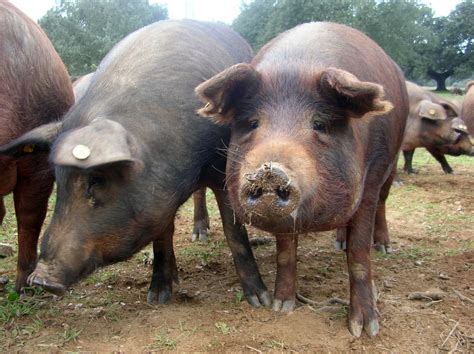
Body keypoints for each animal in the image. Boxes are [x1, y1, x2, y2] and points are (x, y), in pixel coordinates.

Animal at [194, 22, 410, 338]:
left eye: (319, 123)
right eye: (253, 122)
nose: (270, 170)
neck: (296, 65)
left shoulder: (371, 176)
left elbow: (359, 254)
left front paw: (364, 330)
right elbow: (285, 251)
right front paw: (281, 307)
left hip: (392, 162)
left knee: (382, 205)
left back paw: (382, 247)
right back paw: (339, 243)